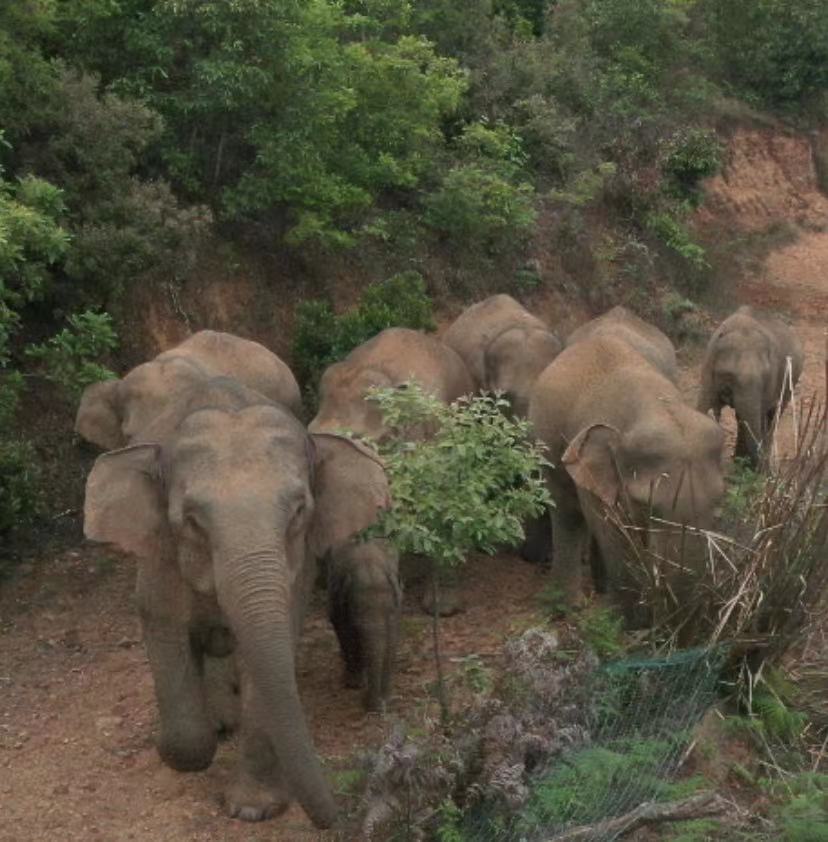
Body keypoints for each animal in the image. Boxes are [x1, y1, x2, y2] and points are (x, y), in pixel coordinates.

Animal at [84, 378, 392, 828]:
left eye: (299, 511)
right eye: (191, 520)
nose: (340, 815)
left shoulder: (297, 569)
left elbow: (266, 660)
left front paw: (252, 809)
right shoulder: (160, 558)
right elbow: (167, 636)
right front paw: (173, 751)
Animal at [326, 540, 402, 708]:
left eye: (390, 609)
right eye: (357, 612)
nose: (379, 705)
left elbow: (392, 637)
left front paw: (386, 697)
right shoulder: (340, 605)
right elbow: (347, 633)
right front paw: (355, 684)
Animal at [532, 332, 724, 620]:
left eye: (720, 500)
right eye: (645, 504)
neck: (656, 409)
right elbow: (615, 537)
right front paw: (631, 621)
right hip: (547, 445)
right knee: (567, 515)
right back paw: (572, 606)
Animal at [696, 306, 804, 470]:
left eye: (765, 376)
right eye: (728, 375)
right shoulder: (708, 366)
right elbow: (702, 405)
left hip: (791, 381)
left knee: (772, 416)